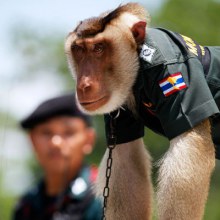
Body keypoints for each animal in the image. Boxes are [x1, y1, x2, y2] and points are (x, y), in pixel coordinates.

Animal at [65, 2, 220, 220]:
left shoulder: (173, 67)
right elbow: (126, 158)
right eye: (79, 50)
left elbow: (188, 150)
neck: (137, 65)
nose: (84, 84)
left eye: (98, 48)